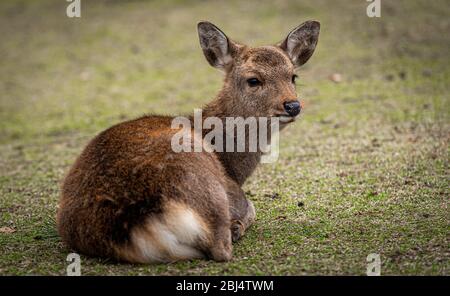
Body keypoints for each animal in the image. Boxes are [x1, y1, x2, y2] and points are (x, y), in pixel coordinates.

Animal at [57, 19, 320, 262]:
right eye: (253, 80)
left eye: (293, 76)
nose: (293, 105)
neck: (232, 165)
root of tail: (135, 220)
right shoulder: (235, 192)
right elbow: (252, 208)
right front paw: (237, 225)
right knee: (221, 249)